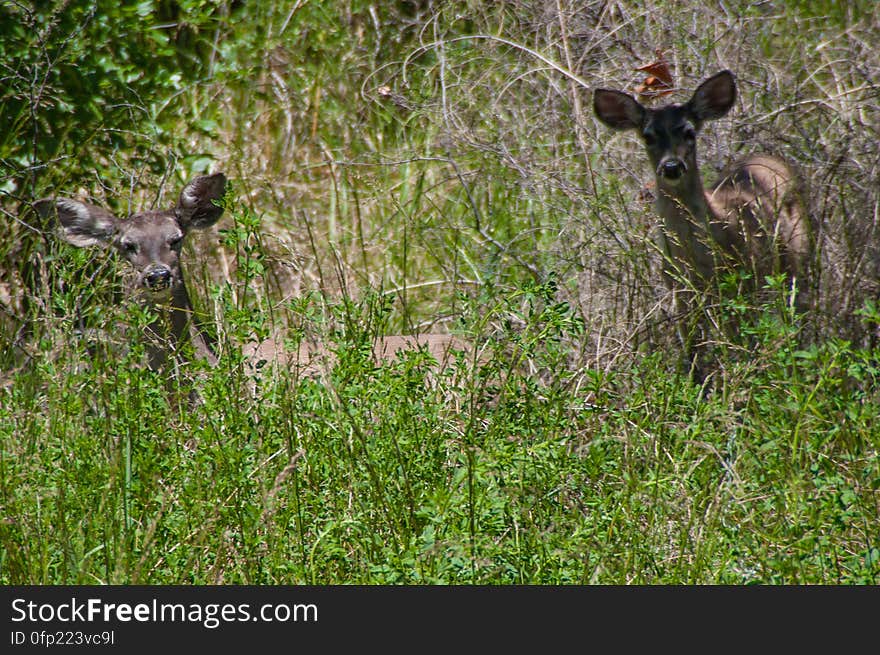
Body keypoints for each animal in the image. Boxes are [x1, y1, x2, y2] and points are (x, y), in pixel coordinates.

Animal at [592, 69, 812, 376]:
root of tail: (768, 157)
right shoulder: (679, 288)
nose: (672, 166)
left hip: (793, 260)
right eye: (648, 136)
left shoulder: (742, 281)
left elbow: (740, 341)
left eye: (689, 132)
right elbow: (692, 350)